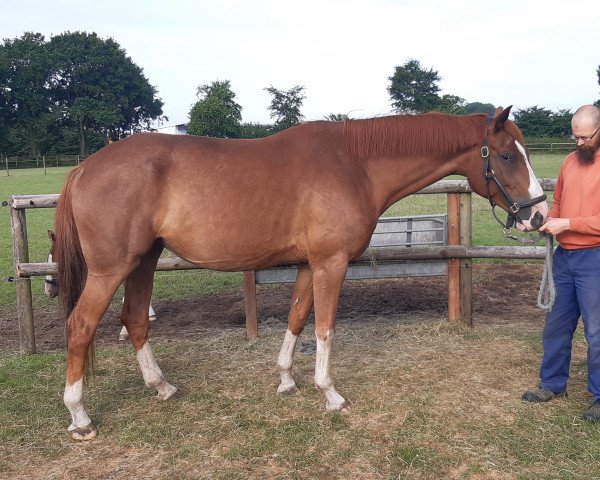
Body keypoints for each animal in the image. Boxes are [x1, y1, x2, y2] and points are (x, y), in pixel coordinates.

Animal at [54, 107, 548, 440]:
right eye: (506, 156)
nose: (538, 216)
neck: (353, 165)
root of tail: (84, 167)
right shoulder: (332, 262)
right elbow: (326, 327)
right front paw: (330, 394)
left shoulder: (310, 265)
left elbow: (296, 318)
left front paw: (287, 379)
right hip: (111, 269)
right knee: (80, 326)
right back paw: (79, 417)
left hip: (143, 261)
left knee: (135, 319)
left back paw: (161, 386)